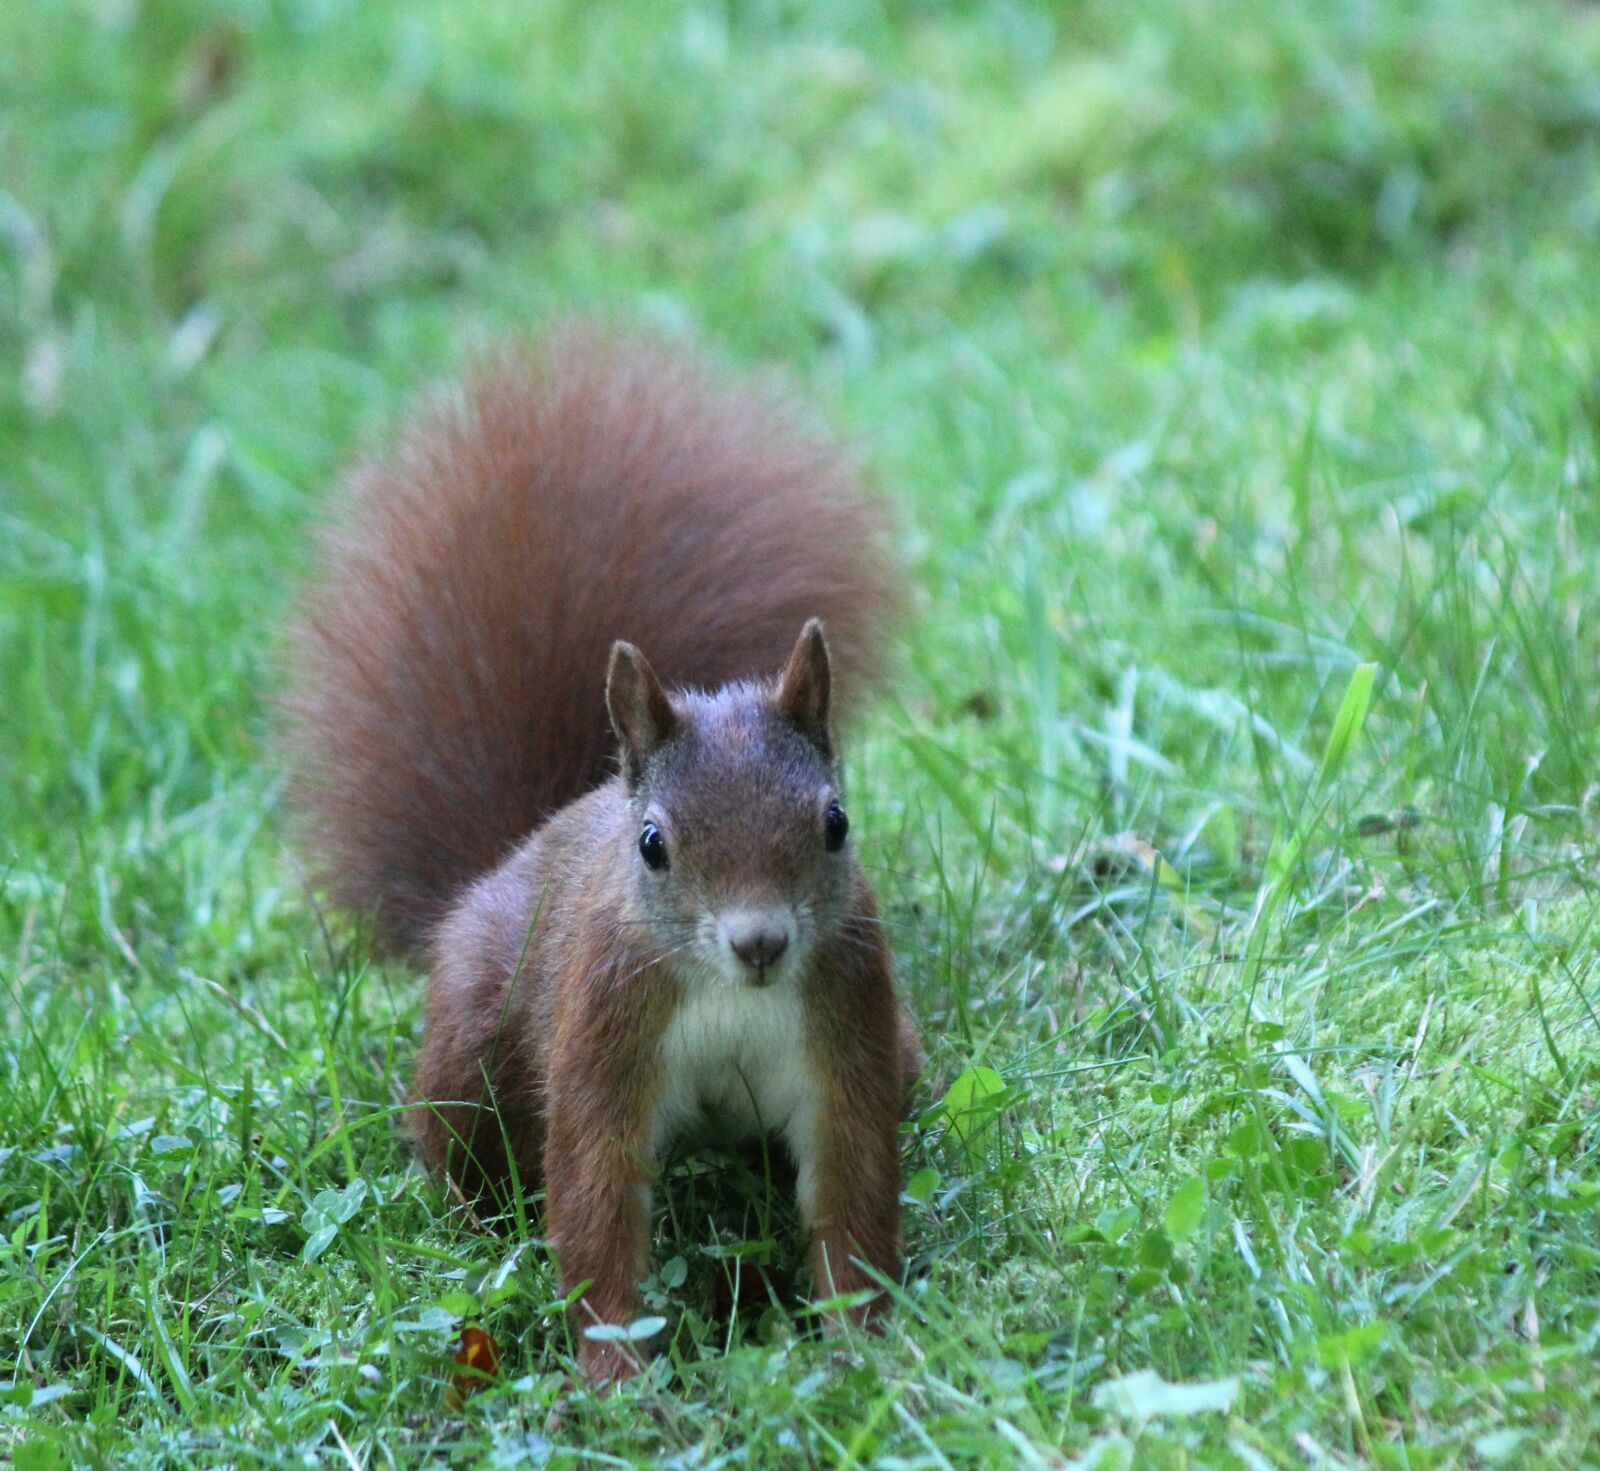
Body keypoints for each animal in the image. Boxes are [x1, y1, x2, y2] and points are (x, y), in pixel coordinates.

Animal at [280, 324, 923, 1383]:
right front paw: (619, 1374)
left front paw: (864, 1347)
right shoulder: (604, 1033)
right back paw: (475, 1228)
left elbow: (852, 1192)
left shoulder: (850, 1031)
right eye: (653, 844)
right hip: (475, 1027)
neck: (729, 996)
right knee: (454, 1144)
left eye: (835, 823)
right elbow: (593, 1194)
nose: (760, 944)